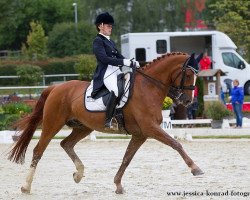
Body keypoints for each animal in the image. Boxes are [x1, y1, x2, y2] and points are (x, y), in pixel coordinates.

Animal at [8, 51, 203, 194]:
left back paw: (78, 174)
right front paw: (195, 168)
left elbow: (126, 158)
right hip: (52, 123)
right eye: (187, 74)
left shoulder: (140, 134)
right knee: (38, 150)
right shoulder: (150, 128)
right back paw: (26, 187)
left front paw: (118, 185)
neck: (148, 88)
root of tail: (55, 87)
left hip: (83, 127)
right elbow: (176, 144)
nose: (187, 101)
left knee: (66, 144)